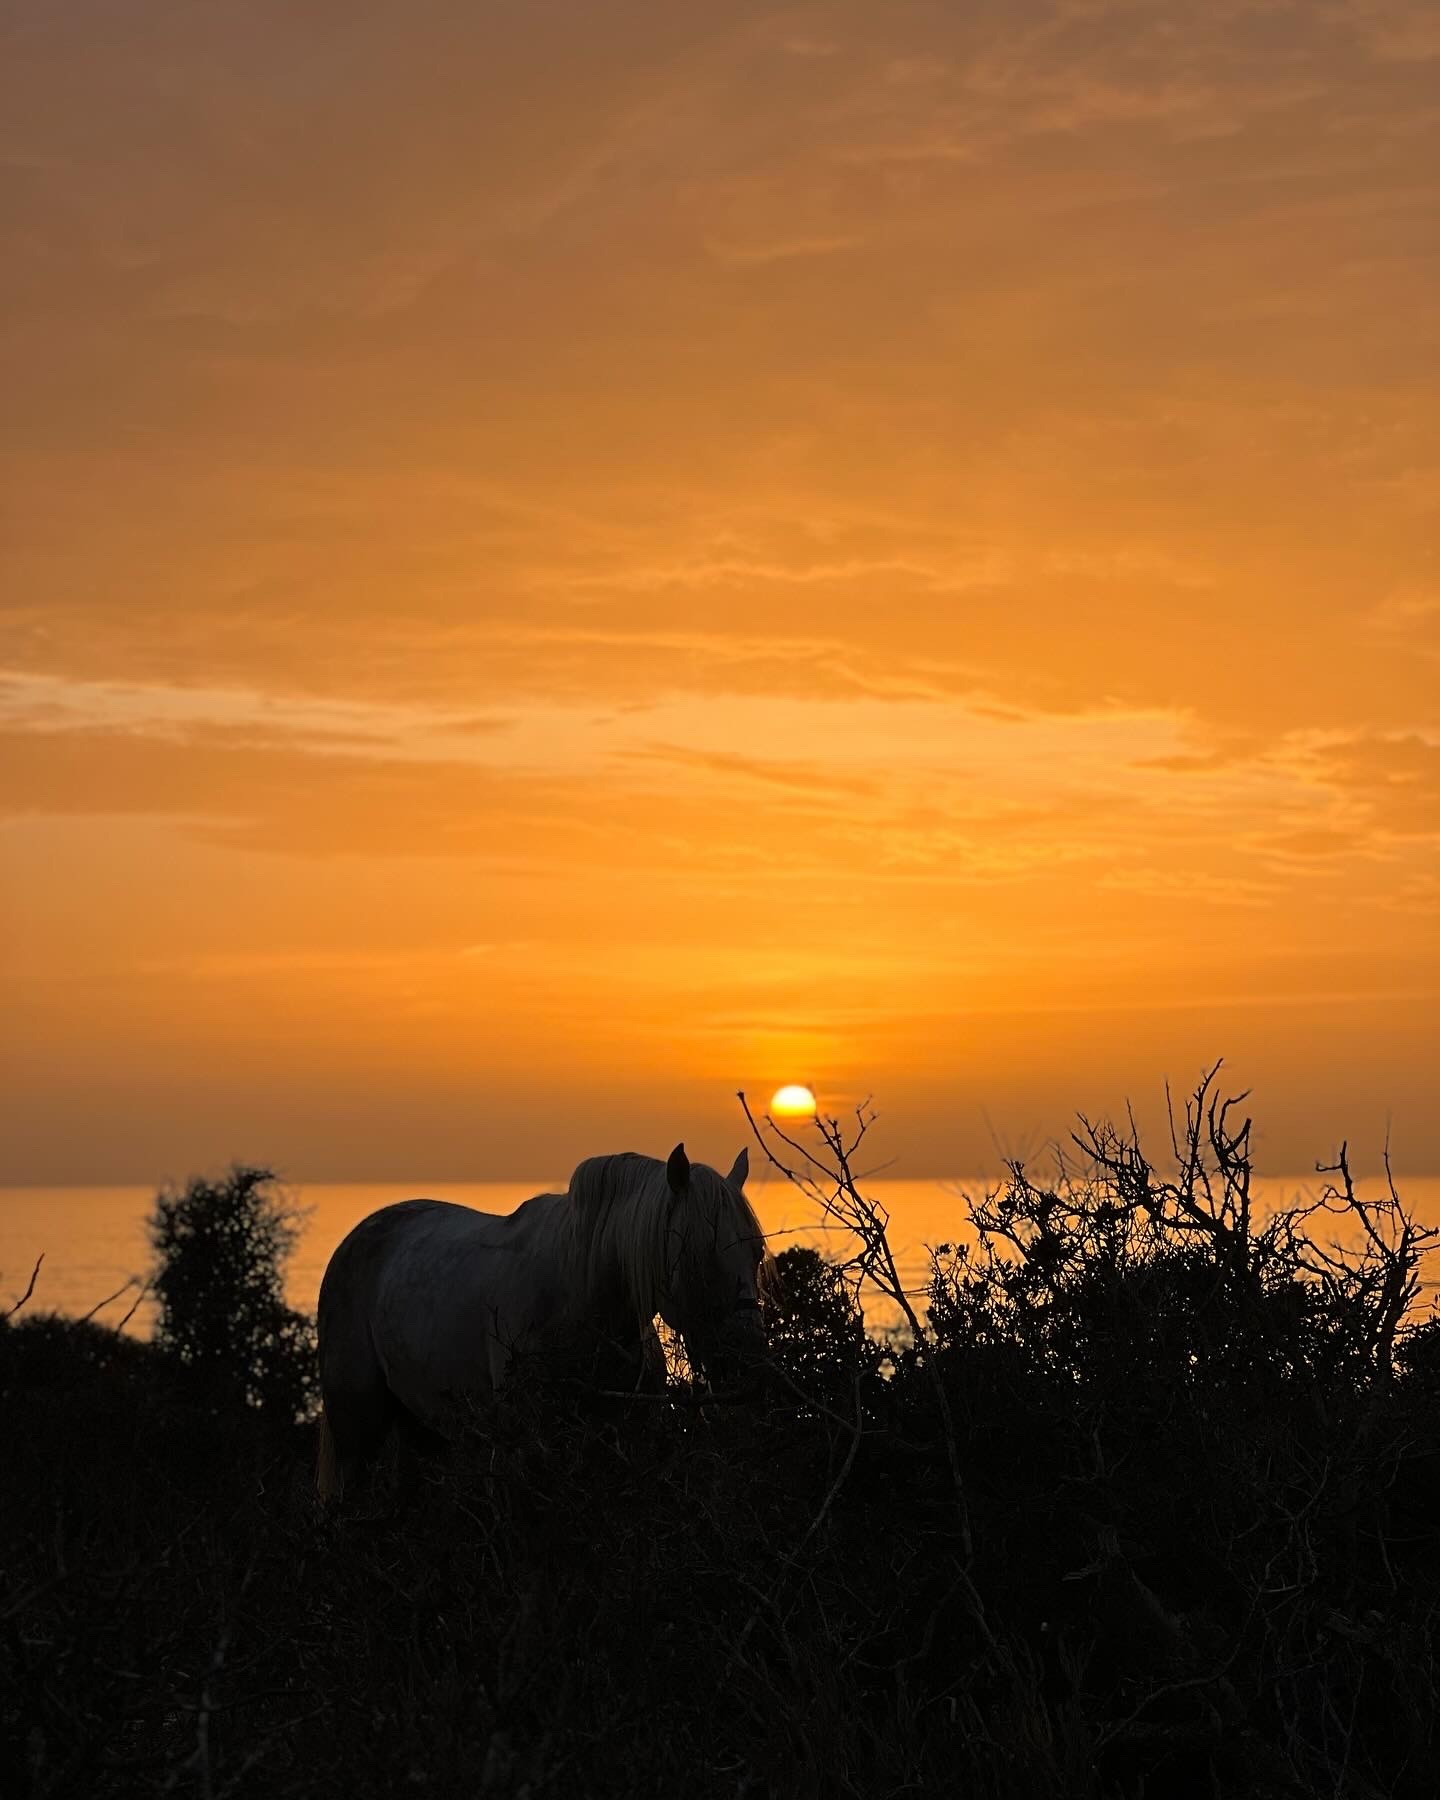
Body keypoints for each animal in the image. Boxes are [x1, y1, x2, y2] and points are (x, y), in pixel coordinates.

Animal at [315, 1142, 770, 1501]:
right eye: (699, 1258)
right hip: (357, 1435)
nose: (749, 1361)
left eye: (757, 1254)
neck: (582, 1300)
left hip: (422, 1429)